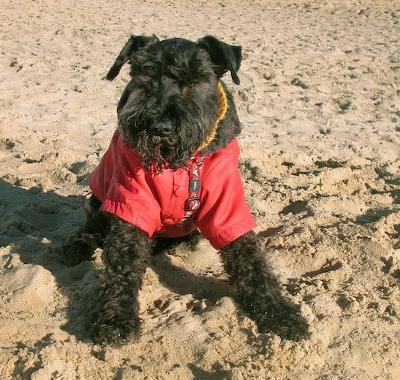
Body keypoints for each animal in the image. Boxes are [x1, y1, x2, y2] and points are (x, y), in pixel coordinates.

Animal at [62, 35, 310, 344]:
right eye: (145, 76)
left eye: (194, 81)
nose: (159, 126)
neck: (180, 165)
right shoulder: (131, 200)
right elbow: (123, 261)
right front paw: (115, 317)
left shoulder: (227, 206)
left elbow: (251, 257)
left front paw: (279, 311)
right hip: (101, 197)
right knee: (91, 226)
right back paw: (76, 247)